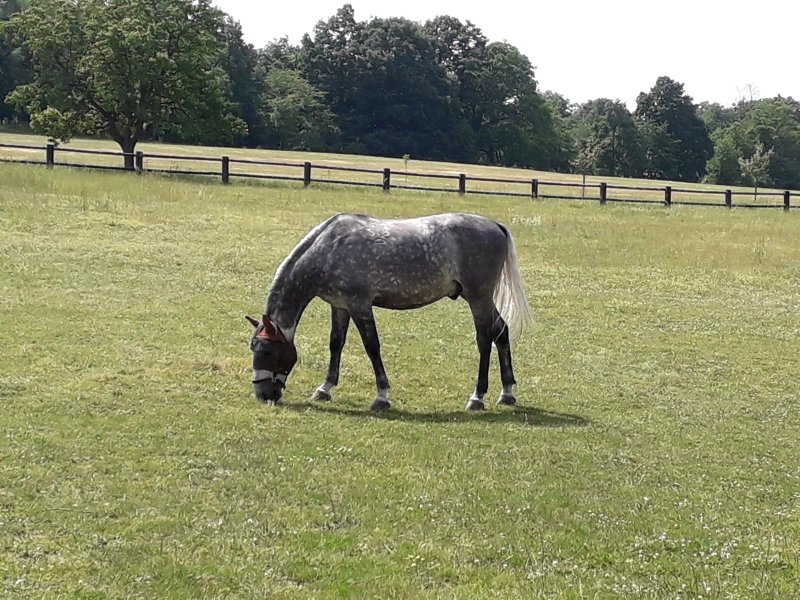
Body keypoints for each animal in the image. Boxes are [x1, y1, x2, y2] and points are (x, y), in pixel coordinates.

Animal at [244, 212, 532, 412]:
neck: (328, 249)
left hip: (478, 297)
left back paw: (477, 397)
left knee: (485, 338)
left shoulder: (360, 304)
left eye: (266, 351)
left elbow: (372, 346)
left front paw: (381, 396)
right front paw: (324, 389)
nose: (263, 394)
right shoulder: (340, 305)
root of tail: (495, 225)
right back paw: (507, 392)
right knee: (501, 331)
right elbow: (336, 344)